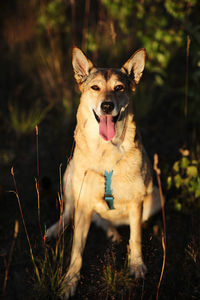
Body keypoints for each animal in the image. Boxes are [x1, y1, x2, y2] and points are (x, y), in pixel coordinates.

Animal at [46, 46, 162, 298]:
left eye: (119, 88)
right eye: (95, 87)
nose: (107, 106)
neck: (106, 150)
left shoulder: (137, 201)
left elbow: (136, 237)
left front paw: (136, 264)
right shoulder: (83, 204)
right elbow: (76, 251)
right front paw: (70, 281)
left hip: (157, 196)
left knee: (116, 223)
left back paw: (115, 234)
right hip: (69, 175)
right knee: (68, 212)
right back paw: (54, 230)